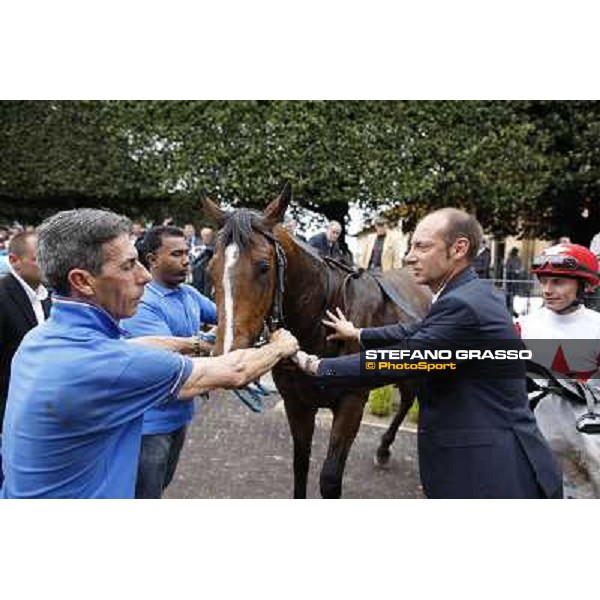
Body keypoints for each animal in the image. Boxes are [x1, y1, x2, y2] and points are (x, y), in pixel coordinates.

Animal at [204, 186, 428, 496]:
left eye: (263, 266)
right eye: (211, 269)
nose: (227, 352)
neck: (324, 318)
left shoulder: (352, 402)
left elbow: (330, 478)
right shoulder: (296, 402)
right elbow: (300, 465)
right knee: (408, 396)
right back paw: (384, 449)